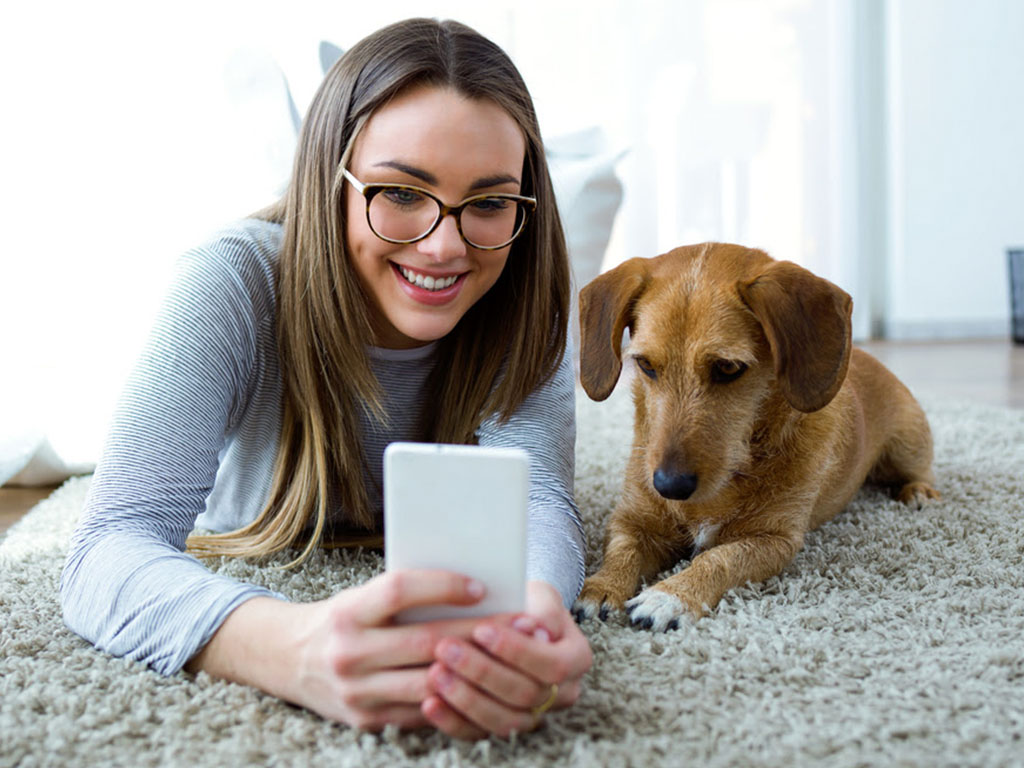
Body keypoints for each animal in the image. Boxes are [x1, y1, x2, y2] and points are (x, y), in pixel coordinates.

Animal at [573, 244, 937, 630]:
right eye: (645, 365)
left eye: (728, 368)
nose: (668, 486)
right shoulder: (633, 522)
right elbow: (622, 552)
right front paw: (601, 587)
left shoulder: (772, 541)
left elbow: (717, 559)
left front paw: (671, 595)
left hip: (907, 445)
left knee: (920, 470)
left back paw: (919, 492)